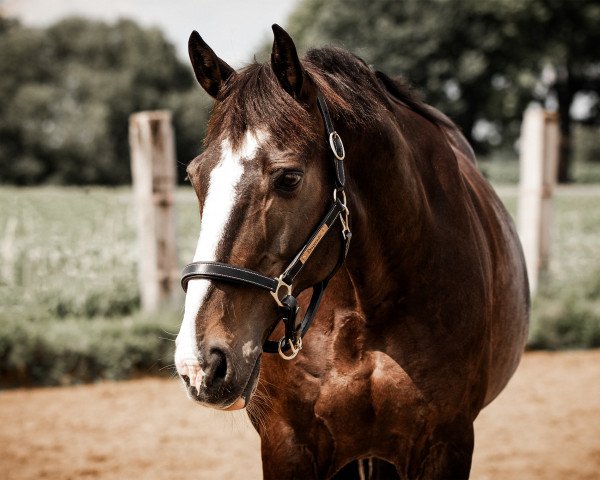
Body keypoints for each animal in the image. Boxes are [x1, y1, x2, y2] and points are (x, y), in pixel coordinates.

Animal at [172, 26, 524, 480]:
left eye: (289, 178)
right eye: (193, 177)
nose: (199, 362)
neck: (366, 311)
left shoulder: (446, 443)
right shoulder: (288, 443)